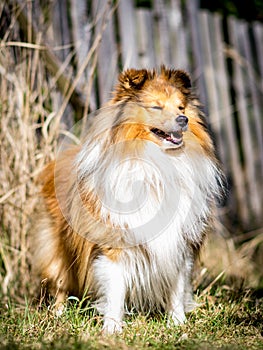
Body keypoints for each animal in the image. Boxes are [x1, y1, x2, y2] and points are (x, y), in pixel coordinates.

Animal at [33, 66, 225, 334]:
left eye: (181, 107)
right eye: (156, 107)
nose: (183, 120)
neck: (159, 163)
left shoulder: (180, 243)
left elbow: (176, 289)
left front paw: (177, 324)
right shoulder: (113, 245)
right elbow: (115, 291)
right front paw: (112, 329)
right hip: (56, 247)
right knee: (59, 282)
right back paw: (59, 315)